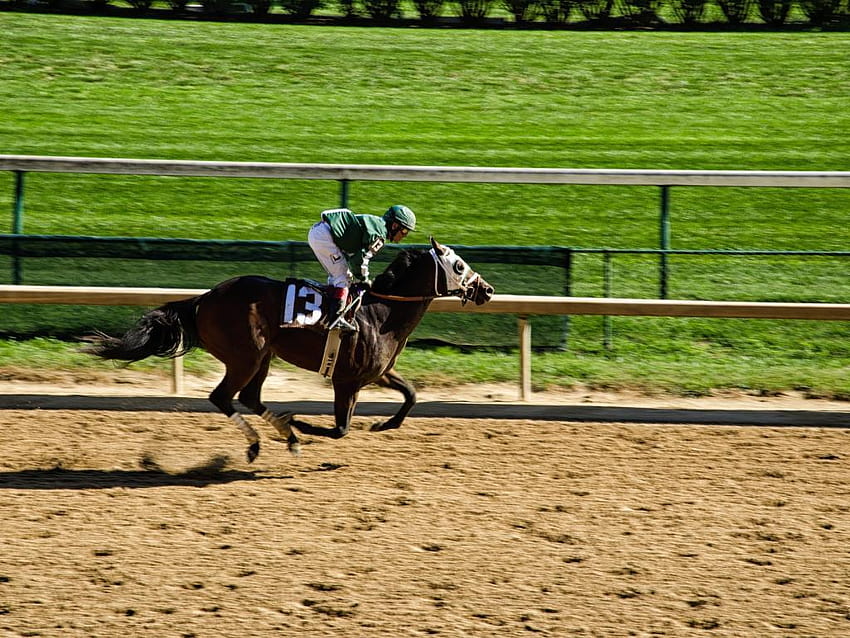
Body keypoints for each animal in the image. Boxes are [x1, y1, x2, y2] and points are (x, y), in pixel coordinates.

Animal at [83, 238, 494, 462]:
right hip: (246, 355)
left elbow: (411, 395)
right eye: (459, 265)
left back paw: (287, 437)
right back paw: (268, 440)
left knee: (248, 397)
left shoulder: (377, 373)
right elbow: (340, 429)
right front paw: (302, 422)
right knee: (223, 396)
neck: (382, 313)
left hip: (261, 357)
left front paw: (383, 423)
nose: (487, 290)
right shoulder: (347, 381)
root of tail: (204, 299)